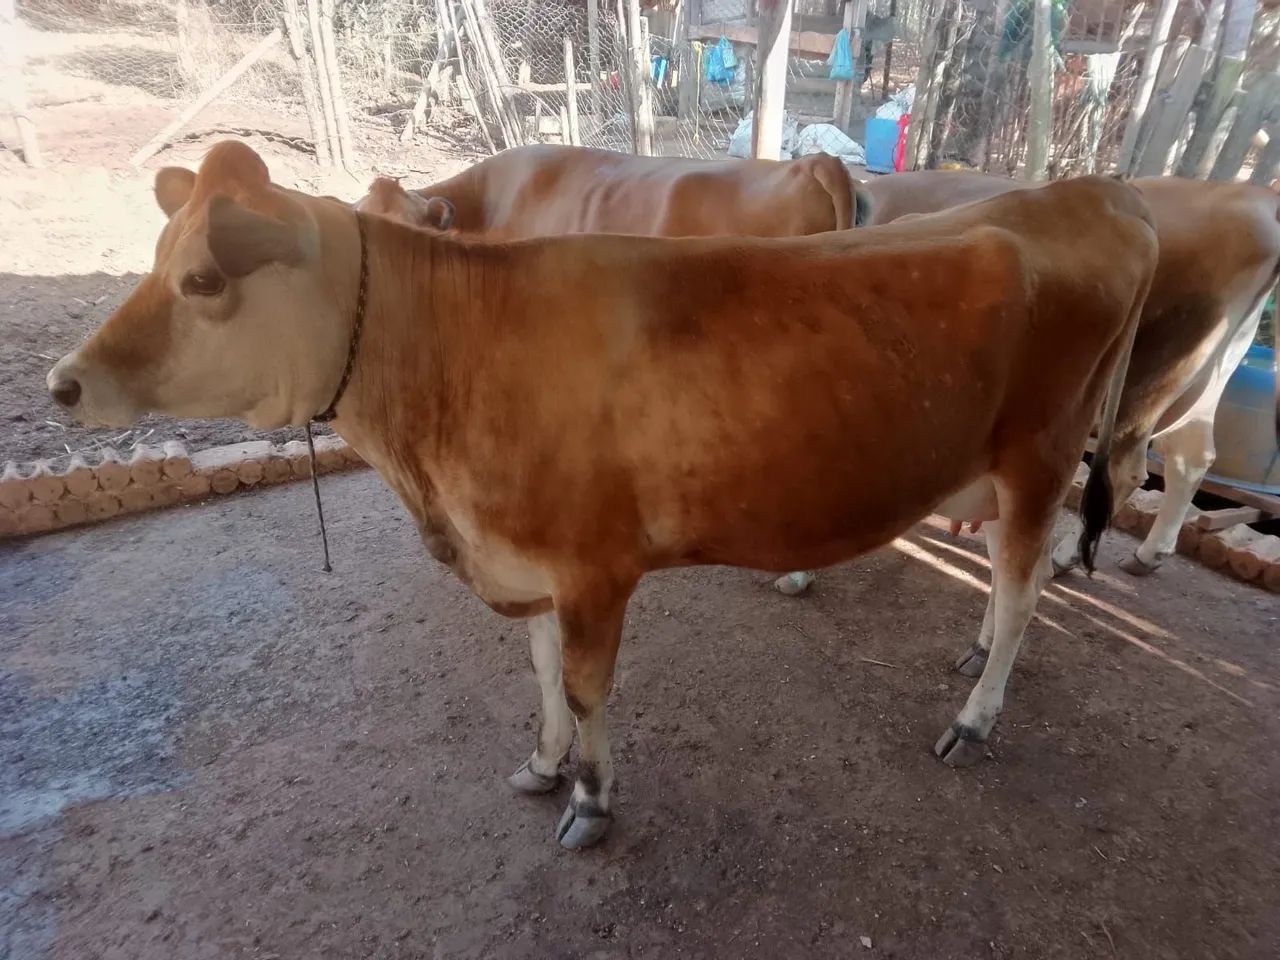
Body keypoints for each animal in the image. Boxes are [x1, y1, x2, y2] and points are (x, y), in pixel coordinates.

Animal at [47, 141, 1157, 849]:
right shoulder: (526, 556)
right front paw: (543, 765)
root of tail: (1091, 194)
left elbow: (584, 688)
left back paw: (974, 718)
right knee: (1017, 581)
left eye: (200, 280)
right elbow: (540, 671)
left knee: (1024, 587)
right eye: (156, 257)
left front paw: (589, 799)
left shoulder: (592, 568)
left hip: (1038, 455)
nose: (63, 383)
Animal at [780, 170, 1280, 600]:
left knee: (1128, 469)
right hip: (1209, 374)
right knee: (1190, 455)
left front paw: (799, 571)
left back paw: (1064, 557)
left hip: (1148, 377)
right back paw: (1147, 554)